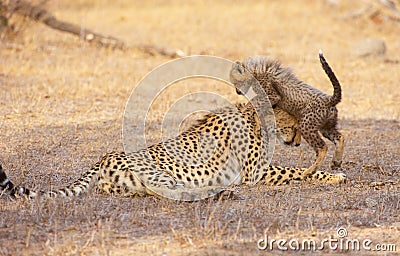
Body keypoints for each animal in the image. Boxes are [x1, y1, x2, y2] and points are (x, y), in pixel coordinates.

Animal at [0, 103, 346, 201]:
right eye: (295, 121)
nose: (297, 140)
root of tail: (104, 156)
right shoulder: (256, 173)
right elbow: (299, 172)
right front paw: (334, 176)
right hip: (160, 173)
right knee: (171, 192)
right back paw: (221, 193)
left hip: (129, 183)